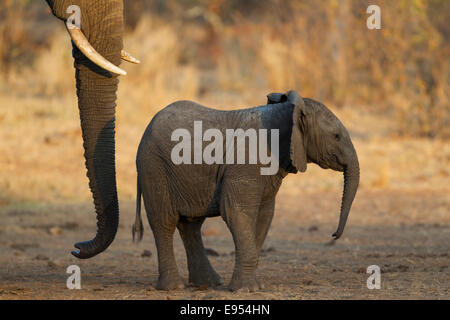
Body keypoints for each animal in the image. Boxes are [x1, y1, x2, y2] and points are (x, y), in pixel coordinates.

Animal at [133, 90, 358, 292]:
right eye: (336, 136)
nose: (334, 234)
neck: (286, 113)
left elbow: (265, 214)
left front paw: (255, 286)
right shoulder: (246, 163)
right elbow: (236, 211)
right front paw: (246, 290)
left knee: (191, 224)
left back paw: (210, 283)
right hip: (154, 166)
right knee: (164, 222)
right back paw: (174, 287)